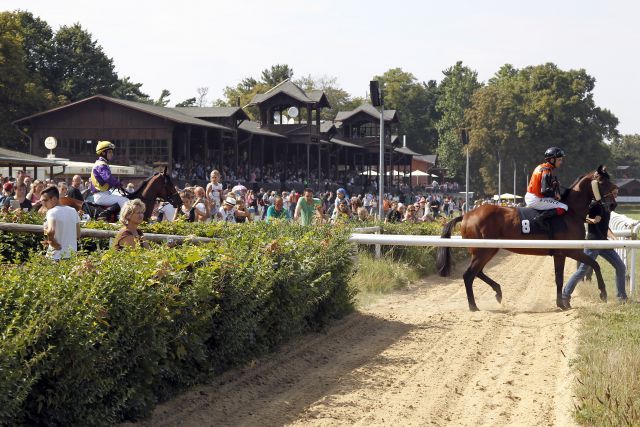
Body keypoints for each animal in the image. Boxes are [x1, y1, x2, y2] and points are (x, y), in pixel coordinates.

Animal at [438, 166, 616, 312]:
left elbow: (562, 276)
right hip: (483, 250)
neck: (570, 212)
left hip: (488, 250)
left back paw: (498, 292)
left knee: (478, 272)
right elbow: (592, 265)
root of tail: (467, 215)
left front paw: (562, 303)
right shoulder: (568, 251)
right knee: (469, 275)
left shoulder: (561, 253)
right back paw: (474, 306)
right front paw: (603, 293)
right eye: (603, 181)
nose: (613, 204)